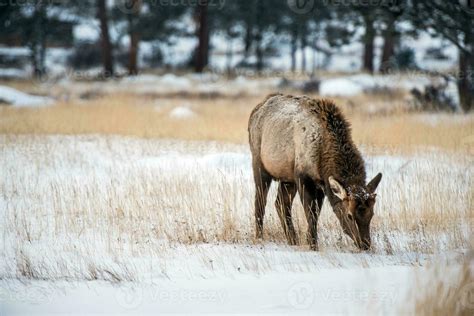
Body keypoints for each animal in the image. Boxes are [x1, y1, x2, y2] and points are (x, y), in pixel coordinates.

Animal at [248, 94, 382, 252]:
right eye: (349, 215)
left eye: (371, 213)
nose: (365, 244)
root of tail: (255, 110)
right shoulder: (303, 177)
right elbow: (311, 214)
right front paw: (313, 245)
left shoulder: (320, 183)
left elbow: (316, 213)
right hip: (259, 164)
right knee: (260, 202)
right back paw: (260, 237)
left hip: (287, 177)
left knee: (280, 204)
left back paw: (293, 240)